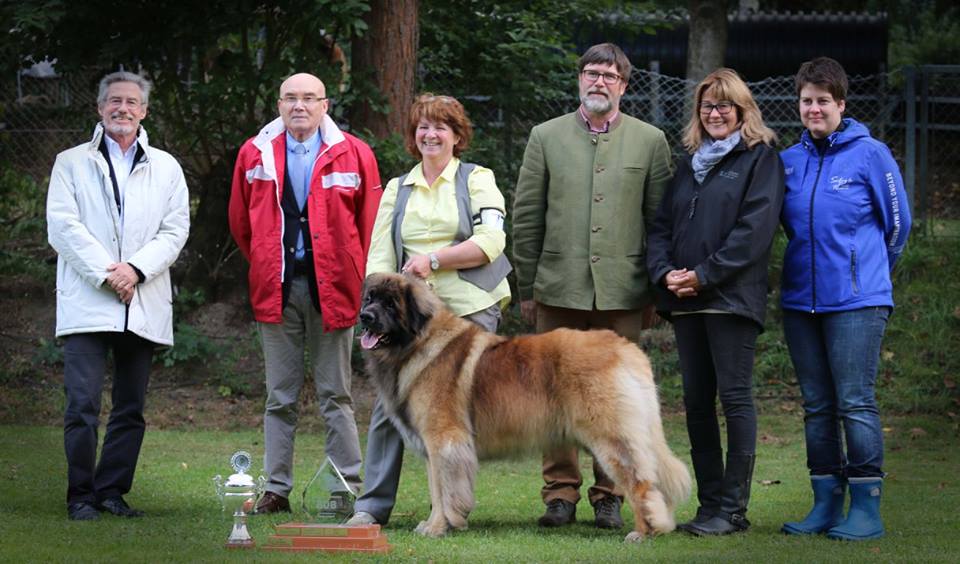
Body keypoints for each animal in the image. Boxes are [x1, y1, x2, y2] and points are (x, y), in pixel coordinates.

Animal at [356, 274, 688, 540]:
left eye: (390, 304)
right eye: (370, 298)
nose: (365, 317)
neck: (418, 343)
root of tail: (626, 349)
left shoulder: (444, 441)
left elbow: (444, 491)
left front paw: (438, 527)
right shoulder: (434, 449)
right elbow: (437, 490)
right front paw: (434, 524)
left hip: (610, 438)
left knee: (640, 483)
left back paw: (642, 532)